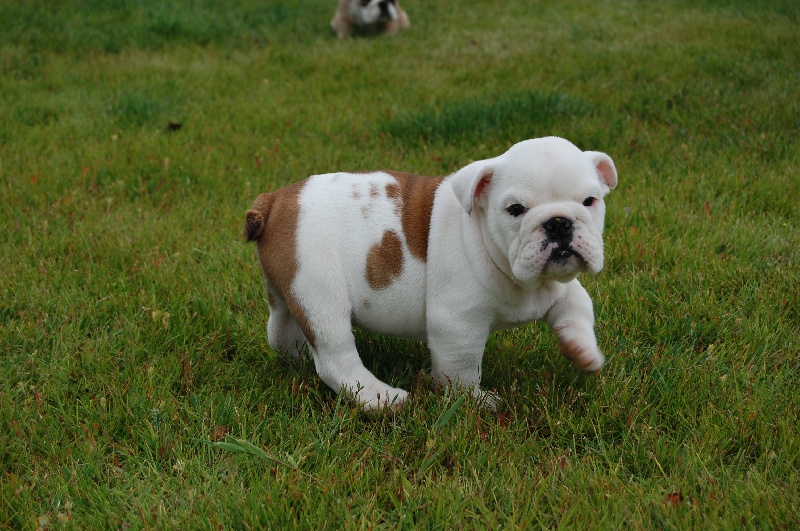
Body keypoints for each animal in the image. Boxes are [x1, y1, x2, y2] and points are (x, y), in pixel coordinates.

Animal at [245, 137, 617, 411]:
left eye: (590, 201)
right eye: (515, 210)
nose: (559, 222)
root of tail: (274, 201)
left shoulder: (558, 287)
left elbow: (578, 308)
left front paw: (583, 352)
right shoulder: (458, 325)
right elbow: (462, 369)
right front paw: (475, 402)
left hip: (291, 287)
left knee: (282, 330)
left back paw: (296, 360)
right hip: (321, 290)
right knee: (337, 359)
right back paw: (383, 399)